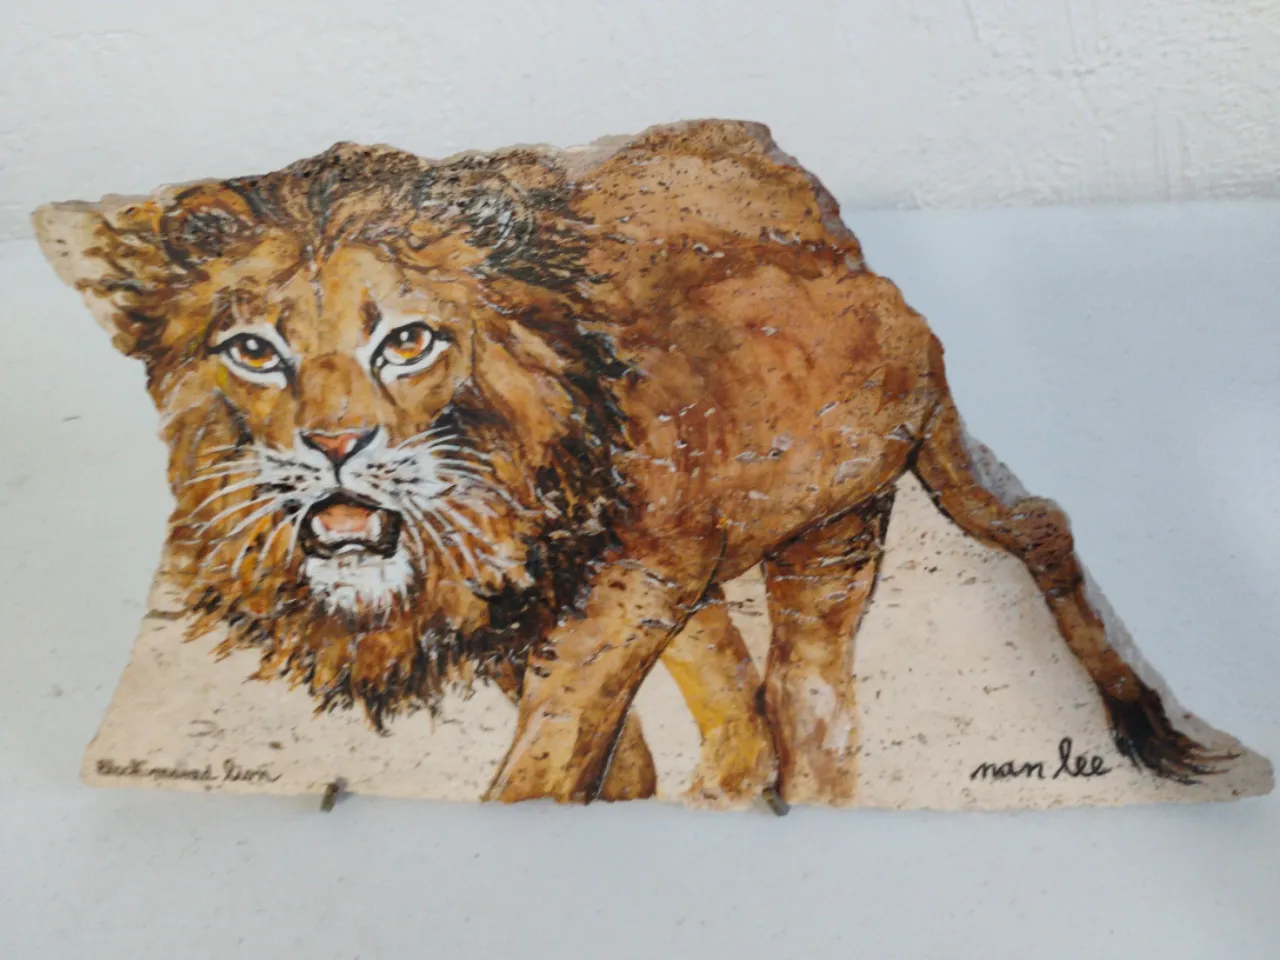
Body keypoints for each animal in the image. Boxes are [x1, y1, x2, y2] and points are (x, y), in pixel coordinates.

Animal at [35, 119, 1225, 806]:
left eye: (407, 341)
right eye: (253, 351)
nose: (332, 448)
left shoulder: (629, 594)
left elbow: (550, 768)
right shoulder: (557, 618)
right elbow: (617, 762)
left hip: (863, 499)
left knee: (906, 628)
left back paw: (1134, 723)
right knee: (759, 717)